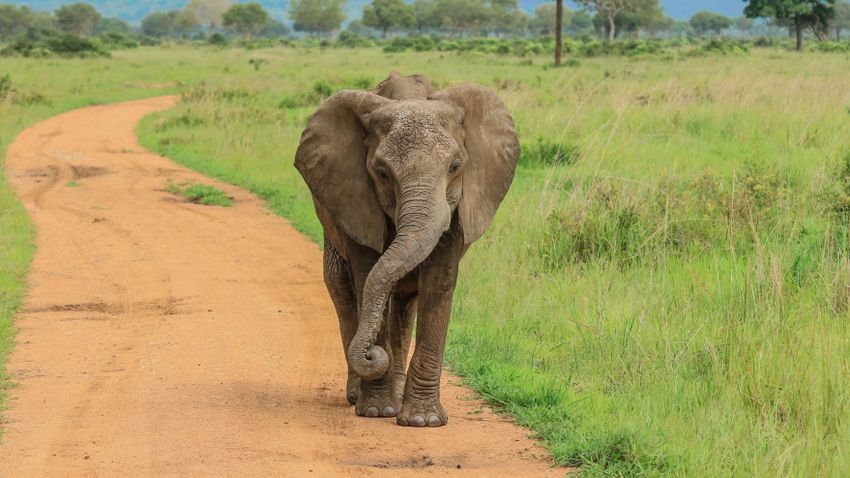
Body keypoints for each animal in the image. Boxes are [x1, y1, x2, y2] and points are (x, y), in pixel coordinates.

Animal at [292, 73, 516, 428]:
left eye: (455, 167)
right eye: (382, 173)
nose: (372, 354)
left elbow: (438, 285)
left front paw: (423, 421)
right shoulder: (355, 196)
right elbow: (368, 278)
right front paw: (376, 411)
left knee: (403, 303)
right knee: (344, 290)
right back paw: (359, 396)